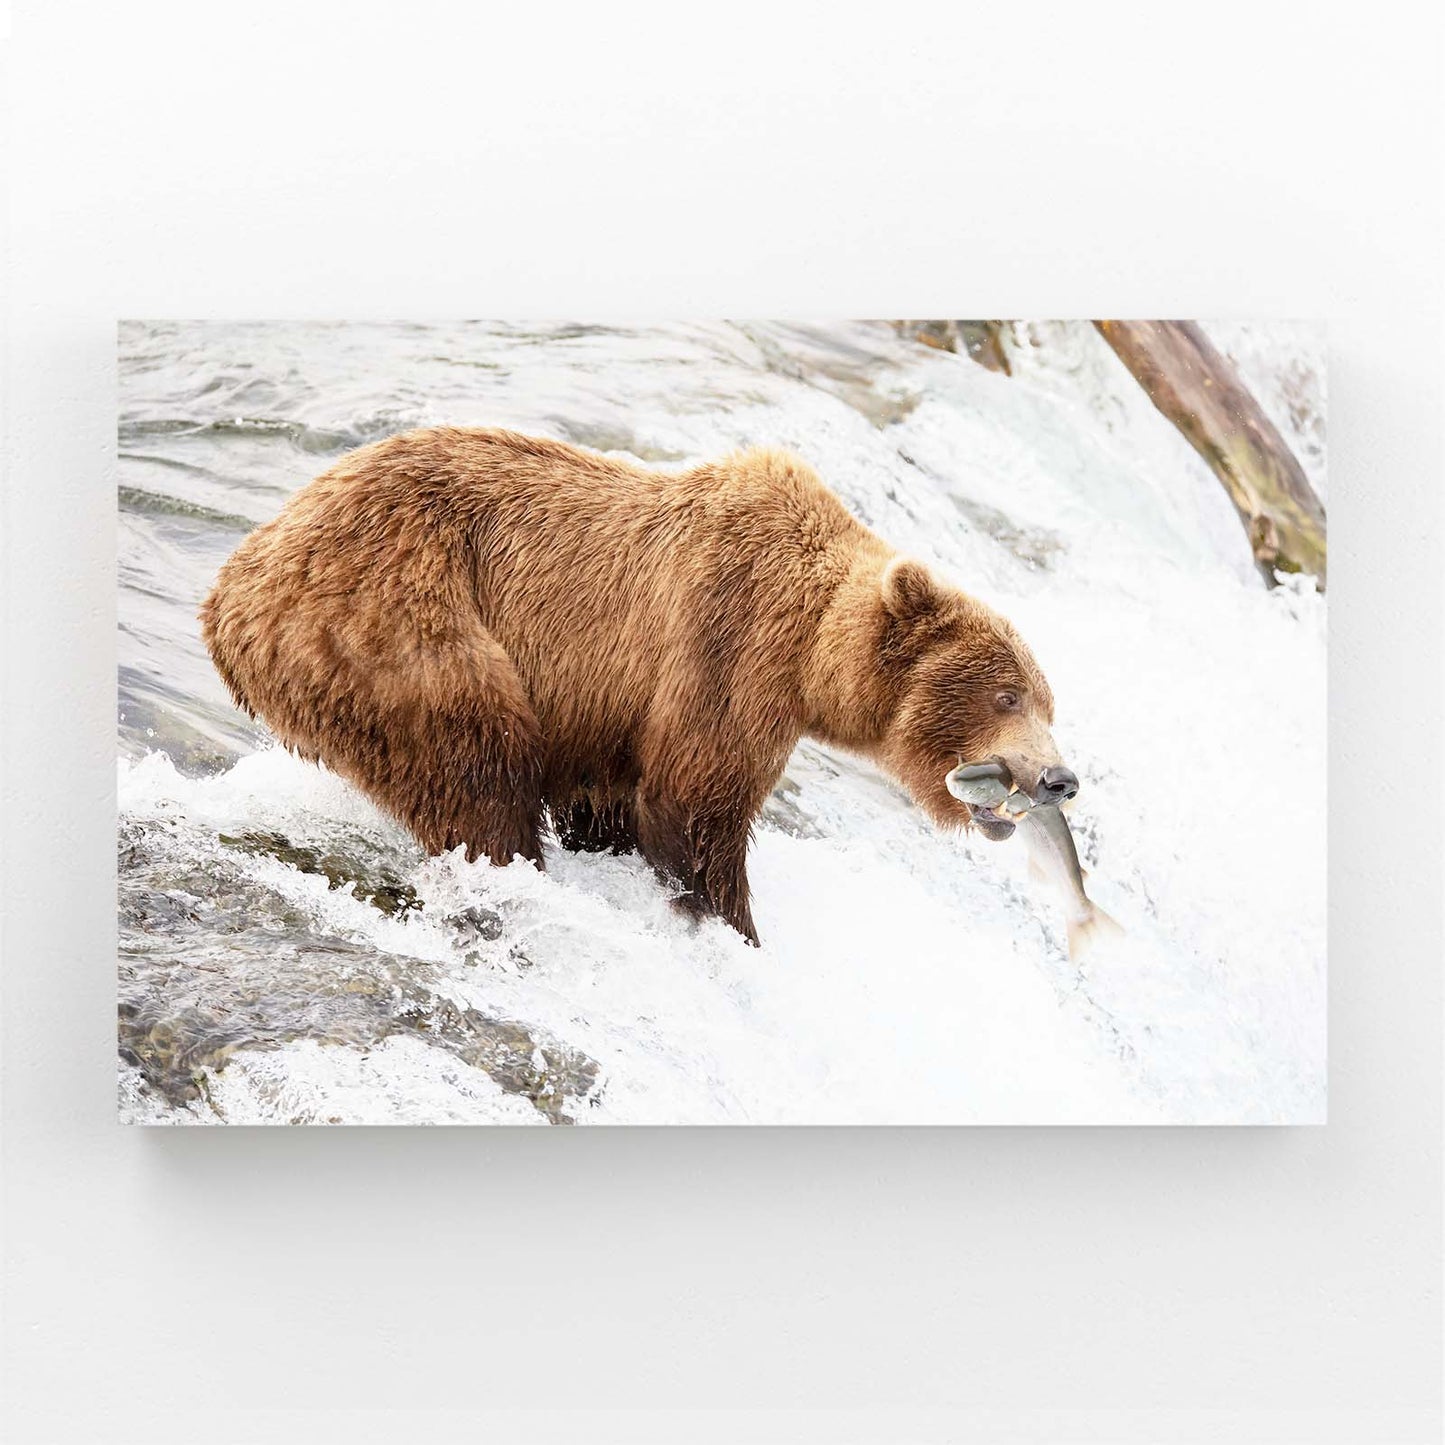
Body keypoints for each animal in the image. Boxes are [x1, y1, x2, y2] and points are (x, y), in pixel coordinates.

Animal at [200, 427, 1076, 945]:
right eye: (1006, 694)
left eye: (1047, 701)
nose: (1058, 778)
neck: (811, 653)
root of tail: (233, 584)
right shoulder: (727, 645)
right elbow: (696, 804)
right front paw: (731, 926)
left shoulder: (609, 712)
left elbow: (612, 800)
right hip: (394, 619)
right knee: (477, 764)